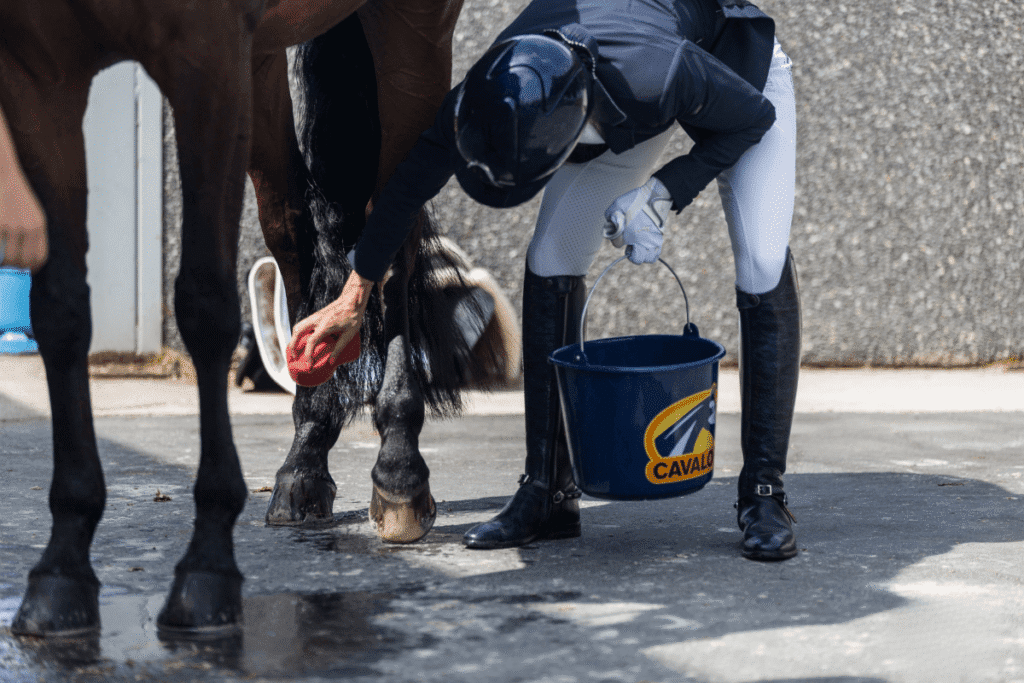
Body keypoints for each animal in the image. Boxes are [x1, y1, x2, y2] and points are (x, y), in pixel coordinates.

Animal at [1, 0, 504, 638]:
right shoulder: (40, 77)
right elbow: (61, 312)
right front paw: (60, 574)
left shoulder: (207, 58)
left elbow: (204, 303)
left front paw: (207, 570)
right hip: (264, 58)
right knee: (291, 223)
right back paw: (305, 459)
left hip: (413, 29)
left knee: (394, 229)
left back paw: (398, 467)